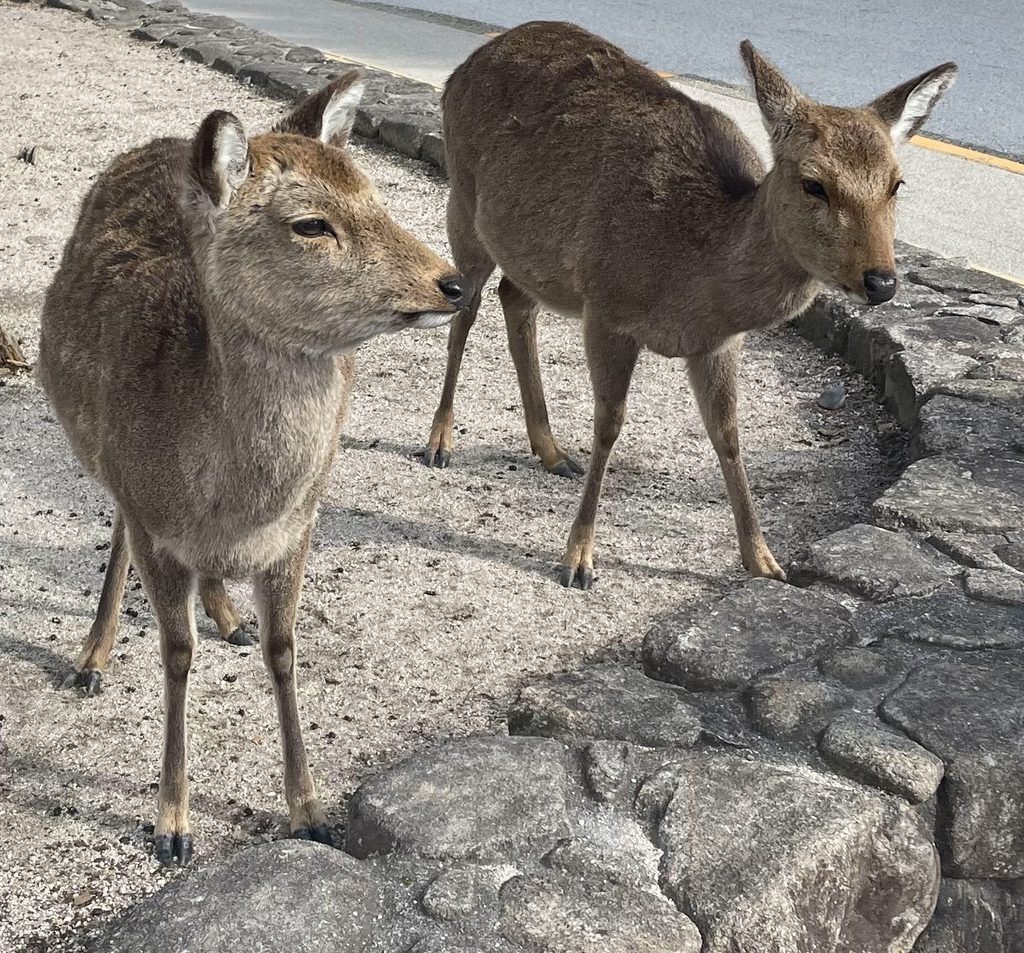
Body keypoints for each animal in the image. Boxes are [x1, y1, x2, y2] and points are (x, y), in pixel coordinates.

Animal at [37, 71, 465, 865]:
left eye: (375, 195)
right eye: (310, 224)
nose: (450, 283)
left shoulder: (301, 526)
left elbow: (284, 649)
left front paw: (310, 810)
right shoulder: (154, 519)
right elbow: (176, 652)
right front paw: (173, 826)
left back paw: (226, 611)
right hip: (105, 461)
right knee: (115, 530)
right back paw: (92, 658)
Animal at [424, 21, 957, 589]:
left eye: (897, 183)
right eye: (814, 183)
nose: (881, 281)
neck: (694, 282)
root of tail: (464, 67)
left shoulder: (718, 344)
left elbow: (728, 435)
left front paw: (765, 562)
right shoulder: (607, 306)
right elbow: (609, 426)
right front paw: (578, 560)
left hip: (533, 256)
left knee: (514, 297)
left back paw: (551, 451)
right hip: (463, 199)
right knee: (465, 304)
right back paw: (439, 441)